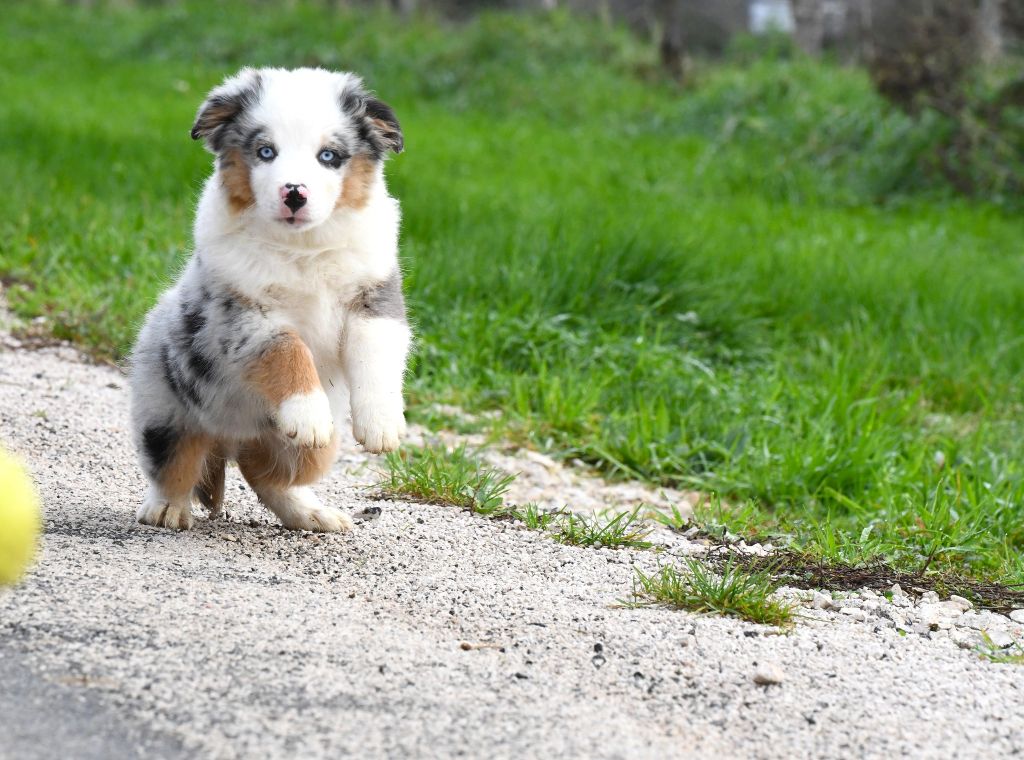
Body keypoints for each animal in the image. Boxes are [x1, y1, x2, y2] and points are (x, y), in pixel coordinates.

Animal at [130, 68, 409, 532]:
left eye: (329, 156)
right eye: (265, 152)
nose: (294, 193)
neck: (303, 251)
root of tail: (231, 437)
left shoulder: (375, 302)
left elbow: (376, 358)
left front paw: (382, 426)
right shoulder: (245, 316)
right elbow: (288, 351)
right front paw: (307, 414)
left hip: (308, 447)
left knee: (266, 472)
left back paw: (312, 513)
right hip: (167, 411)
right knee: (176, 464)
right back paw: (167, 508)